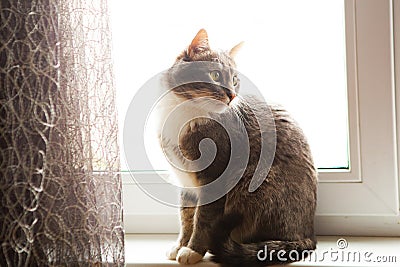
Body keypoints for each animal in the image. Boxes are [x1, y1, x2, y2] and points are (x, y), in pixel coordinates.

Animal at [155, 28, 318, 266]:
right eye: (214, 75)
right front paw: (180, 246)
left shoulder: (214, 177)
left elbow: (202, 219)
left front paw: (193, 250)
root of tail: (307, 235)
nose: (232, 95)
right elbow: (186, 216)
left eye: (234, 80)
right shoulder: (186, 183)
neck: (188, 112)